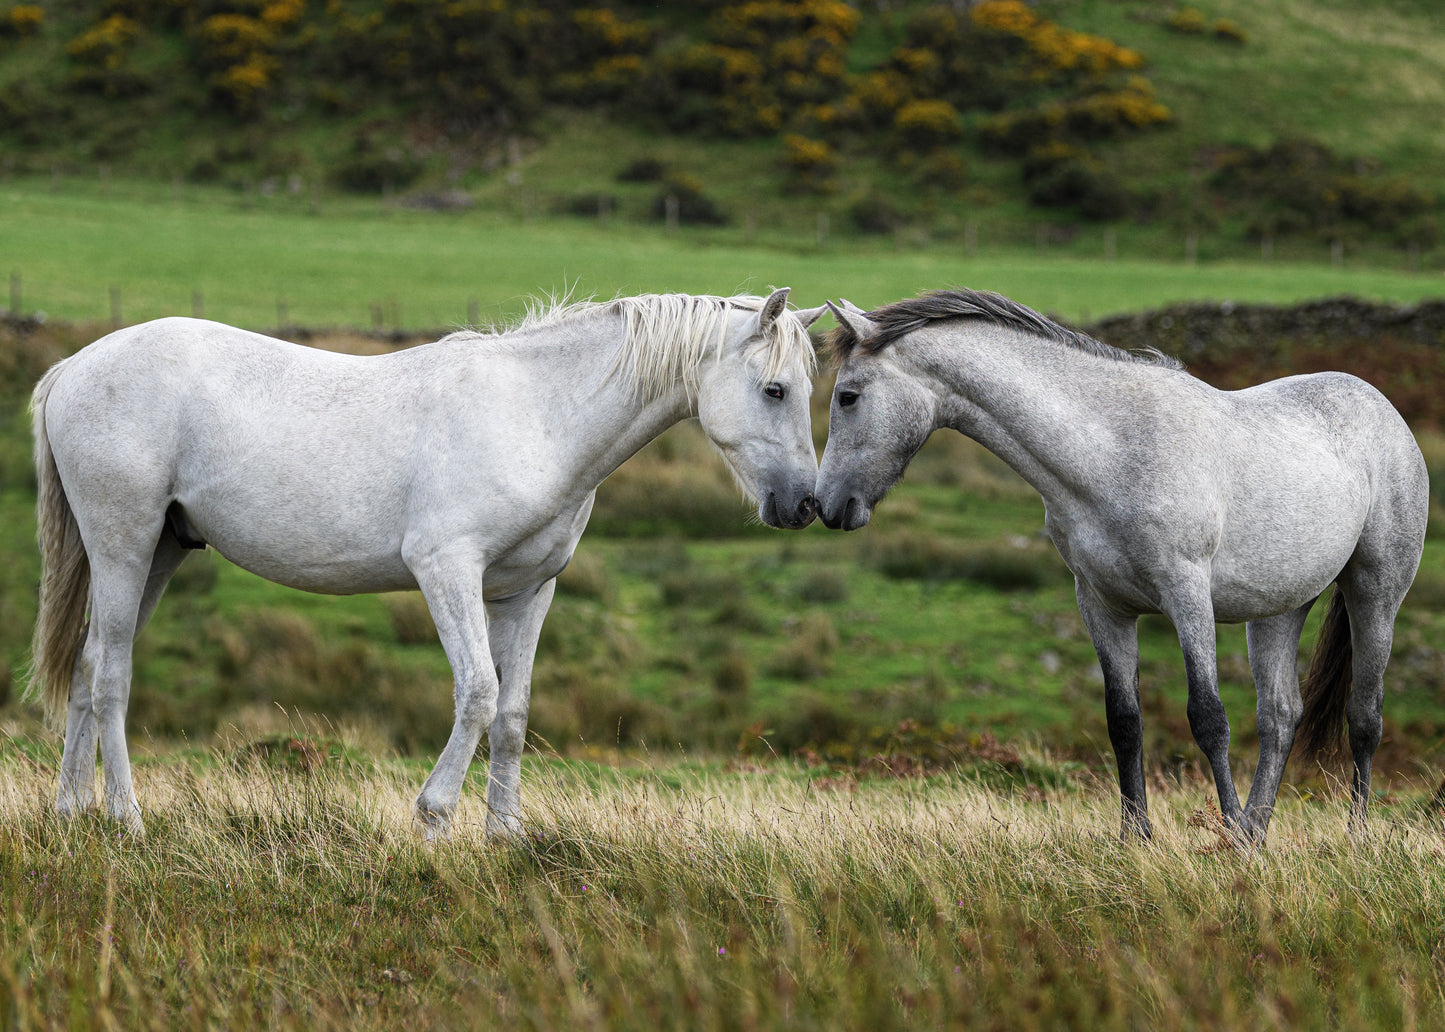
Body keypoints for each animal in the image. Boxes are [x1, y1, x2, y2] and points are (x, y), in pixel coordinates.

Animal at [28, 289, 826, 838]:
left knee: (90, 667)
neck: (538, 415)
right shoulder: (448, 571)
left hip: (160, 551)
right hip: (125, 543)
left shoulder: (527, 591)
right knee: (114, 674)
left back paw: (70, 814)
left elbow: (512, 711)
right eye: (774, 389)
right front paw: (434, 818)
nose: (802, 504)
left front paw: (505, 836)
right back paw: (126, 818)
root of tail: (73, 367)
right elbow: (476, 693)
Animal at [820, 289, 1427, 844]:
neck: (1112, 450)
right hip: (1279, 608)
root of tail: (1384, 410)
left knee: (1364, 717)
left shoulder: (1187, 593)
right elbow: (1124, 722)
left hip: (1376, 593)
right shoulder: (1102, 604)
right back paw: (1256, 835)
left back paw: (1350, 836)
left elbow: (1208, 717)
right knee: (1279, 716)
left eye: (847, 396)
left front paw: (1223, 834)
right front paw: (1136, 836)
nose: (826, 506)